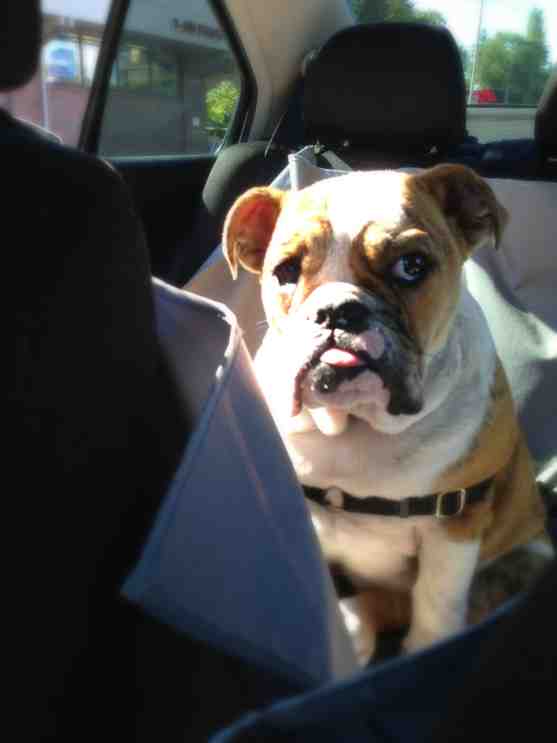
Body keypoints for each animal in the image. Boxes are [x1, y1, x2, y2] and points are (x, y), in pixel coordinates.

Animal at [222, 164, 549, 660]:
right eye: (286, 271)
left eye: (411, 266)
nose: (337, 310)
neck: (357, 426)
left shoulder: (456, 524)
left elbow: (437, 599)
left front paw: (427, 646)